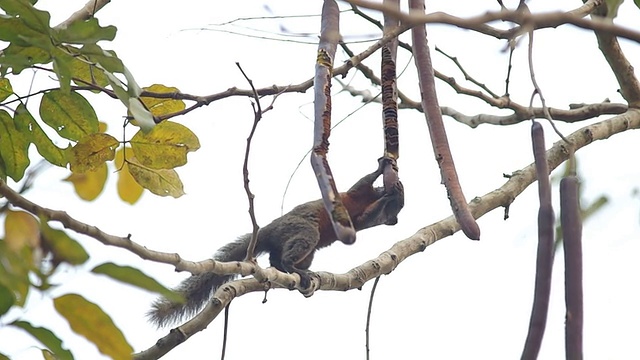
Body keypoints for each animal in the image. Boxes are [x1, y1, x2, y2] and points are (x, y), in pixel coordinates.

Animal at [148, 157, 402, 326]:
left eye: (397, 209)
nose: (394, 218)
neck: (368, 200)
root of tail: (269, 230)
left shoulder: (363, 216)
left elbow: (364, 219)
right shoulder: (352, 195)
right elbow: (362, 184)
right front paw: (383, 169)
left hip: (300, 243)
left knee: (279, 257)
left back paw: (292, 270)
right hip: (301, 229)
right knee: (293, 248)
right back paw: (293, 269)